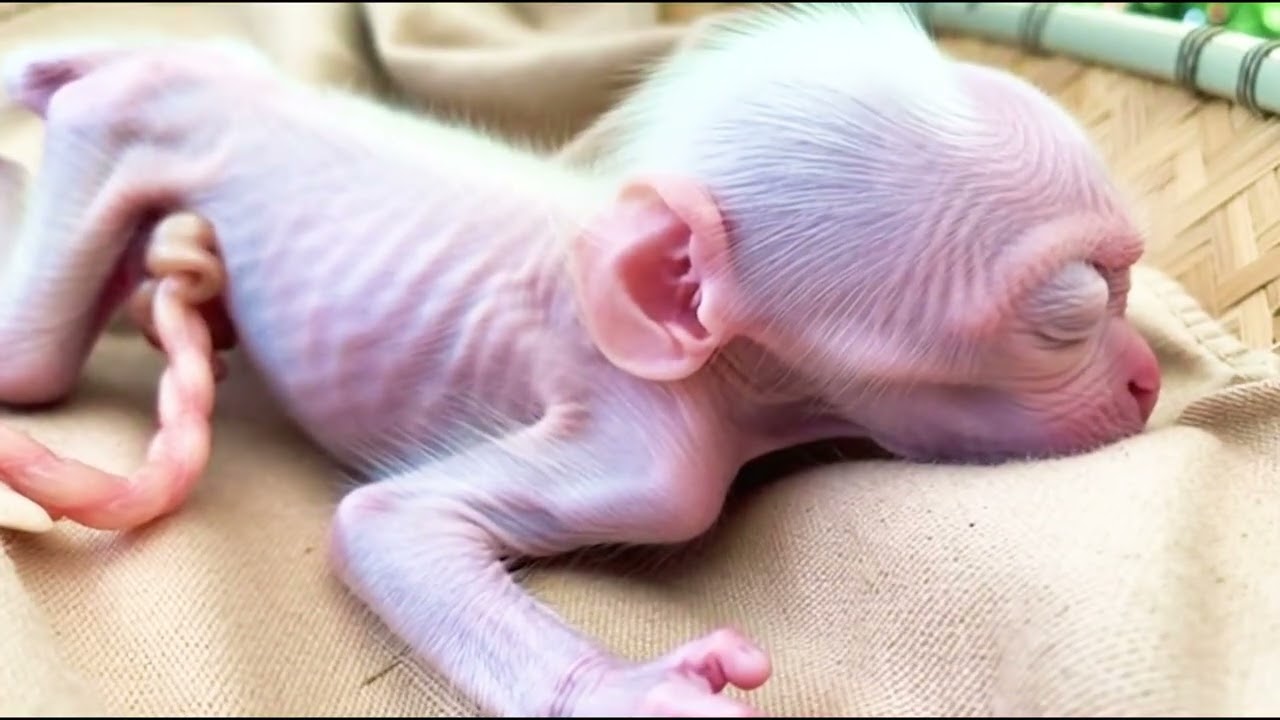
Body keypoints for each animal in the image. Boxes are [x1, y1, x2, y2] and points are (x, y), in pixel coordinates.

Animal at [0, 3, 1160, 716]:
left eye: (1129, 282)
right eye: (1068, 313)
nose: (1150, 378)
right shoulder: (657, 457)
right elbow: (388, 519)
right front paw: (634, 691)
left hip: (229, 80)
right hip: (138, 134)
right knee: (33, 355)